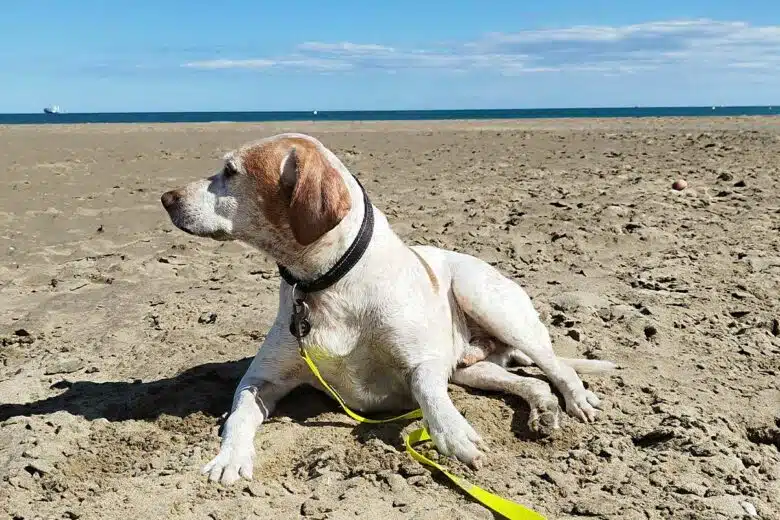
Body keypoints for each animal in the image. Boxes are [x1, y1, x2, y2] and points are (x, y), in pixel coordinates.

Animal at [161, 133, 616, 484]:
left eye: (230, 171)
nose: (166, 198)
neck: (327, 280)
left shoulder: (424, 363)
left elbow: (427, 390)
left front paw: (453, 432)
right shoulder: (261, 380)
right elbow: (239, 415)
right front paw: (230, 459)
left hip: (488, 302)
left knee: (559, 367)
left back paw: (577, 400)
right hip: (471, 369)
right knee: (530, 383)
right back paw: (544, 412)